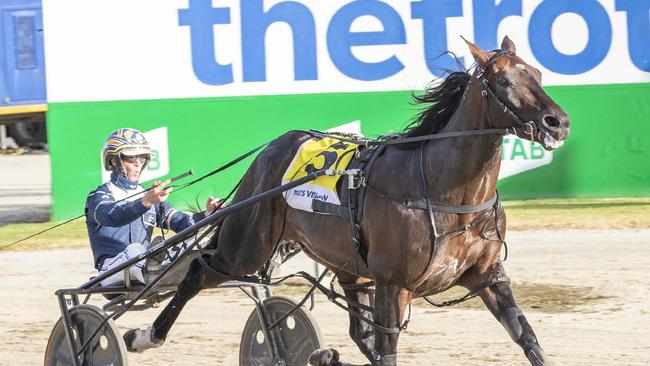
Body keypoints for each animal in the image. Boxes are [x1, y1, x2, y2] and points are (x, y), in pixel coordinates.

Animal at [123, 35, 568, 364]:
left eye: (537, 73)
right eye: (504, 81)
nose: (558, 122)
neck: (446, 190)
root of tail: (271, 148)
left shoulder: (488, 276)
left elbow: (528, 337)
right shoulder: (392, 285)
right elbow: (387, 350)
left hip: (348, 264)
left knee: (357, 332)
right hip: (248, 244)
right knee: (199, 270)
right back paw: (145, 336)